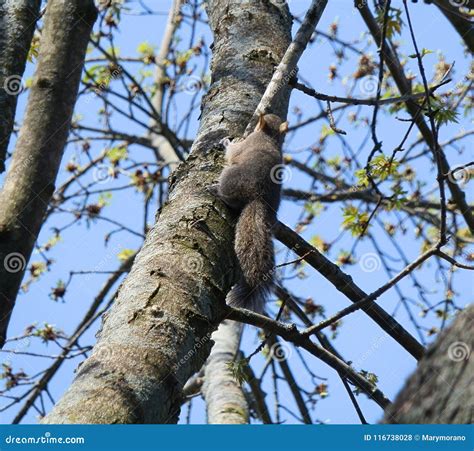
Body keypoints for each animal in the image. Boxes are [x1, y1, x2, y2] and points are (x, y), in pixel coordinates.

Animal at [211, 114, 288, 314]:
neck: (271, 136)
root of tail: (258, 198)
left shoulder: (245, 145)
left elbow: (233, 151)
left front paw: (226, 142)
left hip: (229, 177)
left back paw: (216, 191)